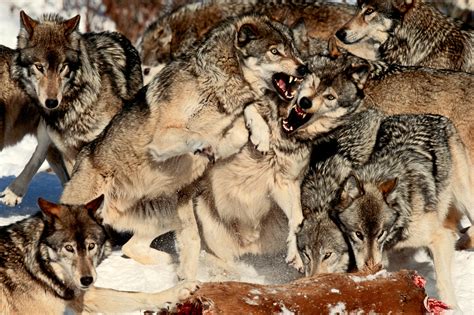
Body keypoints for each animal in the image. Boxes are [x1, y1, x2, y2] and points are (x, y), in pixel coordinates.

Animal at [59, 15, 308, 282]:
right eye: (275, 51)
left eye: (294, 50)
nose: (304, 68)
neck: (217, 88)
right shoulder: (162, 138)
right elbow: (198, 134)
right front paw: (210, 145)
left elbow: (244, 120)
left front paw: (257, 134)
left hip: (167, 216)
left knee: (133, 246)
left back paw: (174, 263)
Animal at [334, 113, 474, 308]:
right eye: (358, 234)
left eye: (380, 233)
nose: (372, 267)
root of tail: (425, 114)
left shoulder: (441, 238)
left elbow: (443, 281)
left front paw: (452, 308)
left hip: (463, 196)